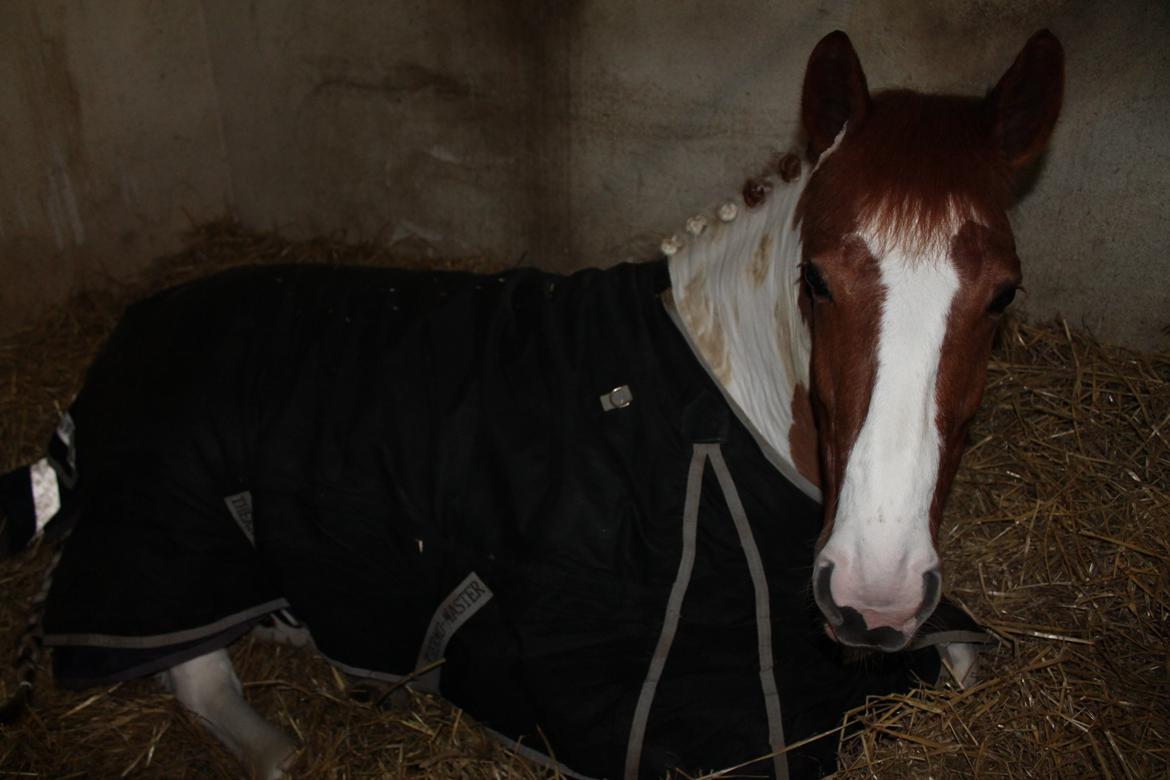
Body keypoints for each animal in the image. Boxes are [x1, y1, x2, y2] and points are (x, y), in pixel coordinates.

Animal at [0, 27, 1062, 780]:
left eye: (1003, 294)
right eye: (815, 280)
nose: (872, 595)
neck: (722, 406)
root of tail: (110, 356)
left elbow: (964, 661)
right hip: (167, 558)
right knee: (195, 672)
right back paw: (283, 744)